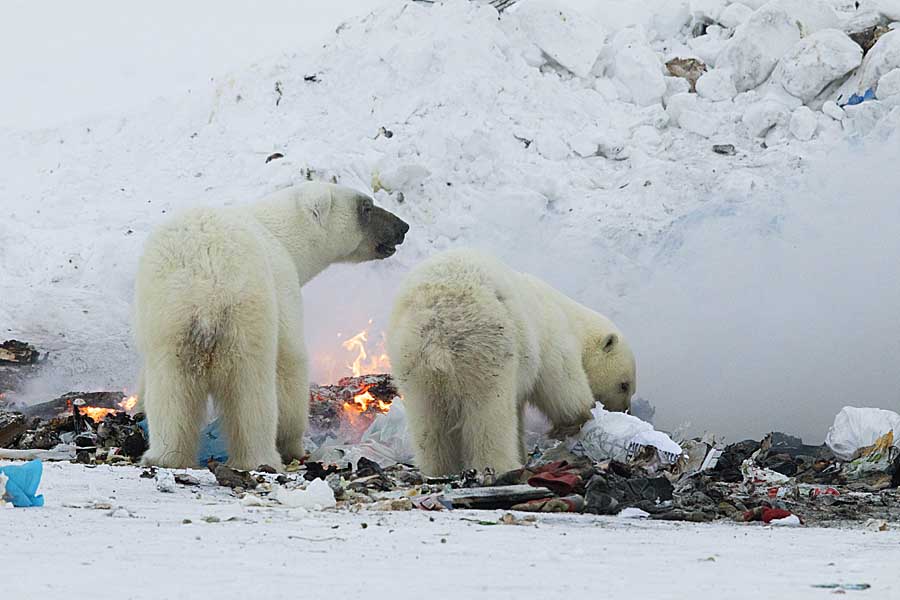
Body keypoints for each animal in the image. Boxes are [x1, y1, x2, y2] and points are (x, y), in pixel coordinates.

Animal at [133, 180, 408, 472]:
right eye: (366, 206)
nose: (403, 227)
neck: (279, 233)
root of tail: (207, 290)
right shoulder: (283, 283)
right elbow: (291, 360)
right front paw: (293, 444)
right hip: (246, 317)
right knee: (251, 393)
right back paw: (260, 459)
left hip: (168, 321)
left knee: (170, 390)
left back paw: (166, 457)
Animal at [386, 247, 632, 474]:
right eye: (624, 385)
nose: (625, 411)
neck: (568, 315)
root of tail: (437, 325)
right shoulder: (551, 340)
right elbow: (563, 389)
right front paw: (581, 418)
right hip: (486, 346)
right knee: (490, 415)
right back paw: (503, 467)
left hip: (411, 360)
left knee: (428, 418)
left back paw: (440, 470)